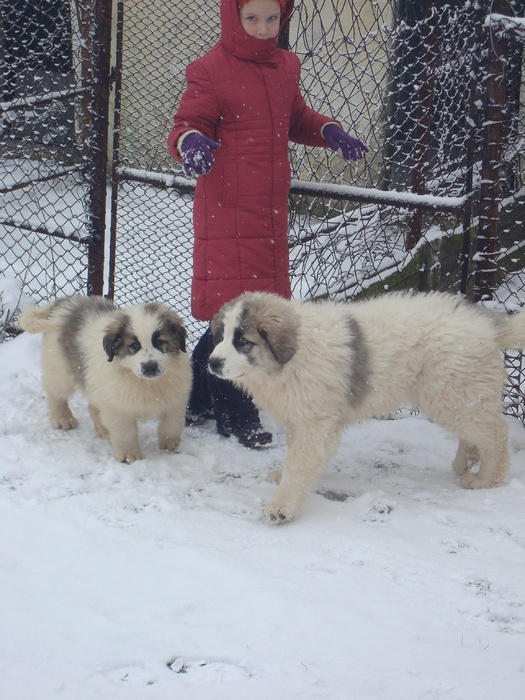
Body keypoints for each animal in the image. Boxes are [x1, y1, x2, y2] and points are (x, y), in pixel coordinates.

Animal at [21, 296, 192, 464]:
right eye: (134, 345)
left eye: (160, 342)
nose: (149, 367)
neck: (146, 382)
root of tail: (63, 303)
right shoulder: (117, 407)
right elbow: (125, 432)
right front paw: (130, 455)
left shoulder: (176, 397)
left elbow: (173, 422)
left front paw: (170, 442)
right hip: (60, 368)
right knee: (56, 394)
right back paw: (63, 419)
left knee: (93, 405)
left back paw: (104, 429)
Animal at [209, 288, 524, 524]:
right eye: (220, 336)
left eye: (243, 341)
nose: (212, 362)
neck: (291, 358)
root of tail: (485, 323)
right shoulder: (300, 417)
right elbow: (293, 455)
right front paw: (281, 478)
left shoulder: (316, 424)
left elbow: (299, 464)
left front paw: (280, 507)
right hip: (457, 395)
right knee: (474, 431)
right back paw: (463, 463)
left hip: (452, 392)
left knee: (495, 433)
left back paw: (486, 479)